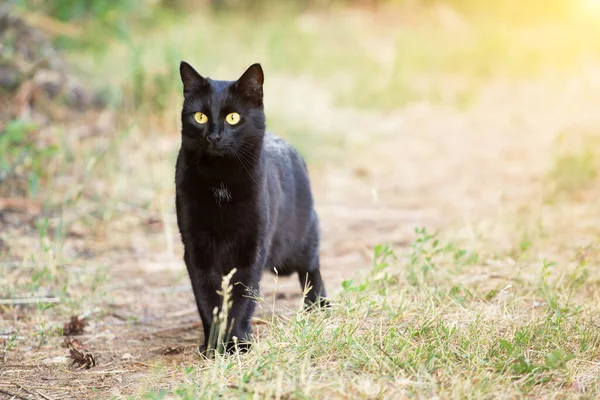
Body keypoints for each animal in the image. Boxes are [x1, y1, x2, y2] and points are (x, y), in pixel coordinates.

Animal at [175, 61, 328, 354]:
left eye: (233, 118)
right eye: (200, 117)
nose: (214, 136)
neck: (220, 181)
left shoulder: (252, 248)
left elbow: (242, 298)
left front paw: (237, 343)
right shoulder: (196, 249)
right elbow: (207, 299)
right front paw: (213, 345)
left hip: (299, 241)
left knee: (311, 267)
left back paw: (318, 306)